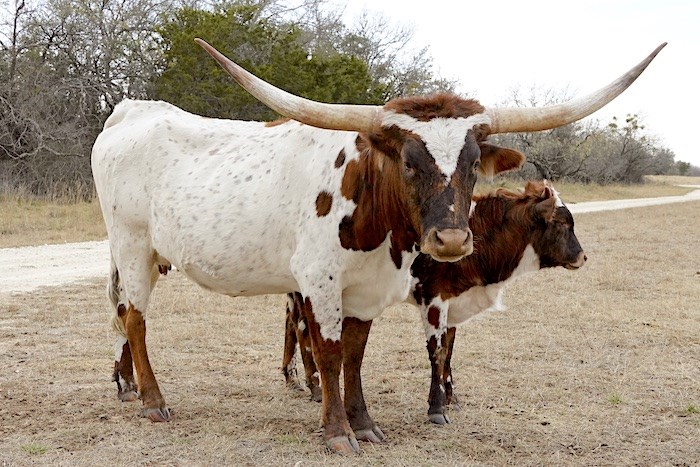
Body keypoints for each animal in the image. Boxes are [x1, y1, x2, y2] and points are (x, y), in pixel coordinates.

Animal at [282, 180, 585, 424]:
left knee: (291, 326)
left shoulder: (453, 301)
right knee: (303, 330)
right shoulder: (434, 299)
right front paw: (437, 408)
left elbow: (448, 352)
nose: (583, 257)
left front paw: (451, 397)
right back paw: (314, 385)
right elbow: (436, 353)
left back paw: (293, 378)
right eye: (561, 223)